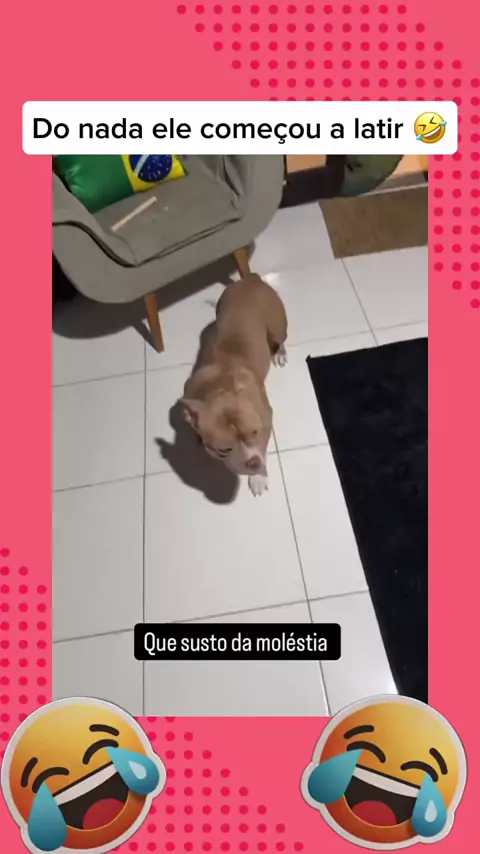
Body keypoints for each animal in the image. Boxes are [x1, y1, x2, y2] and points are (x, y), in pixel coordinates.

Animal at [181, 273, 287, 497]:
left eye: (256, 433)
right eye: (224, 450)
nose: (254, 463)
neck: (218, 387)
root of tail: (252, 279)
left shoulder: (266, 419)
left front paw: (258, 478)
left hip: (277, 326)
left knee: (280, 338)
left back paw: (280, 353)